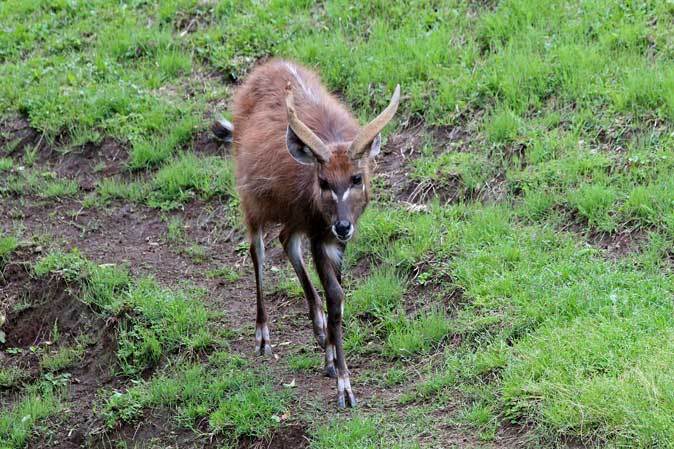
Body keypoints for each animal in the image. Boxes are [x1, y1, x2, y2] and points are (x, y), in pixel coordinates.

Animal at [213, 58, 396, 406]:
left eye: (356, 178)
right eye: (324, 181)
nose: (343, 225)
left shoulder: (328, 236)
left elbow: (337, 293)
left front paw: (331, 359)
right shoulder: (318, 233)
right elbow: (335, 293)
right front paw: (344, 387)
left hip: (293, 220)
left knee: (285, 240)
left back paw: (320, 331)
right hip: (250, 201)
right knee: (257, 251)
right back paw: (263, 337)